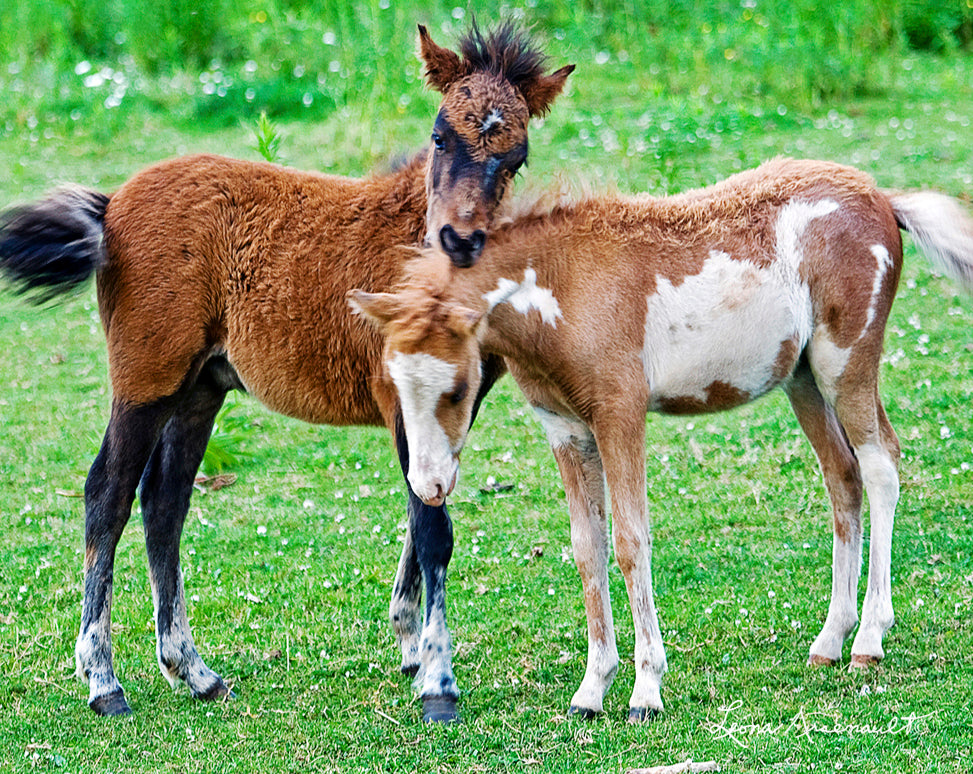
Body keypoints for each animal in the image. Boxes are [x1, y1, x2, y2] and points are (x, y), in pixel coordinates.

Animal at [0, 22, 573, 723]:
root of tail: (109, 210)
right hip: (146, 380)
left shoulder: (458, 408)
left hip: (199, 389)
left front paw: (413, 651)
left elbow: (425, 513)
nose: (458, 241)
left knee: (164, 503)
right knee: (106, 496)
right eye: (441, 135)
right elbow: (433, 528)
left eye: (515, 158)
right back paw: (103, 680)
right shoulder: (400, 398)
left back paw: (194, 672)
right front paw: (438, 682)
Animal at [350, 156, 973, 721]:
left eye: (458, 390)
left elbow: (631, 543)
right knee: (842, 477)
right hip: (803, 378)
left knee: (880, 467)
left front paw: (645, 691)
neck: (563, 287)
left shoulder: (621, 416)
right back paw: (830, 641)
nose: (428, 485)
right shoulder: (567, 431)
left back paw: (869, 639)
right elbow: (587, 549)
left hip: (844, 363)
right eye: (393, 382)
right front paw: (592, 690)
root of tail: (881, 197)